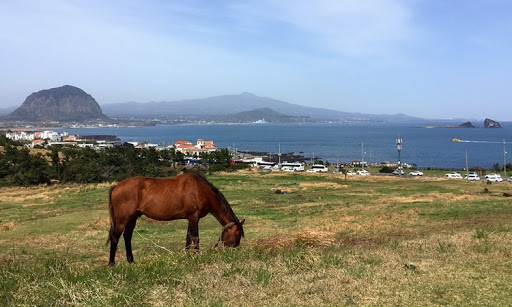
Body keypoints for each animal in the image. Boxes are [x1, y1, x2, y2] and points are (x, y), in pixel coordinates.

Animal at [105, 173, 245, 268]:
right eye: (237, 236)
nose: (232, 252)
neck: (200, 190)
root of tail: (116, 186)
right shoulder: (194, 217)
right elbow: (195, 237)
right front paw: (196, 256)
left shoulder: (190, 218)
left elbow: (188, 238)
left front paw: (187, 255)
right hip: (122, 219)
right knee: (115, 237)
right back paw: (112, 263)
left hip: (132, 218)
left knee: (127, 236)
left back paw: (131, 261)